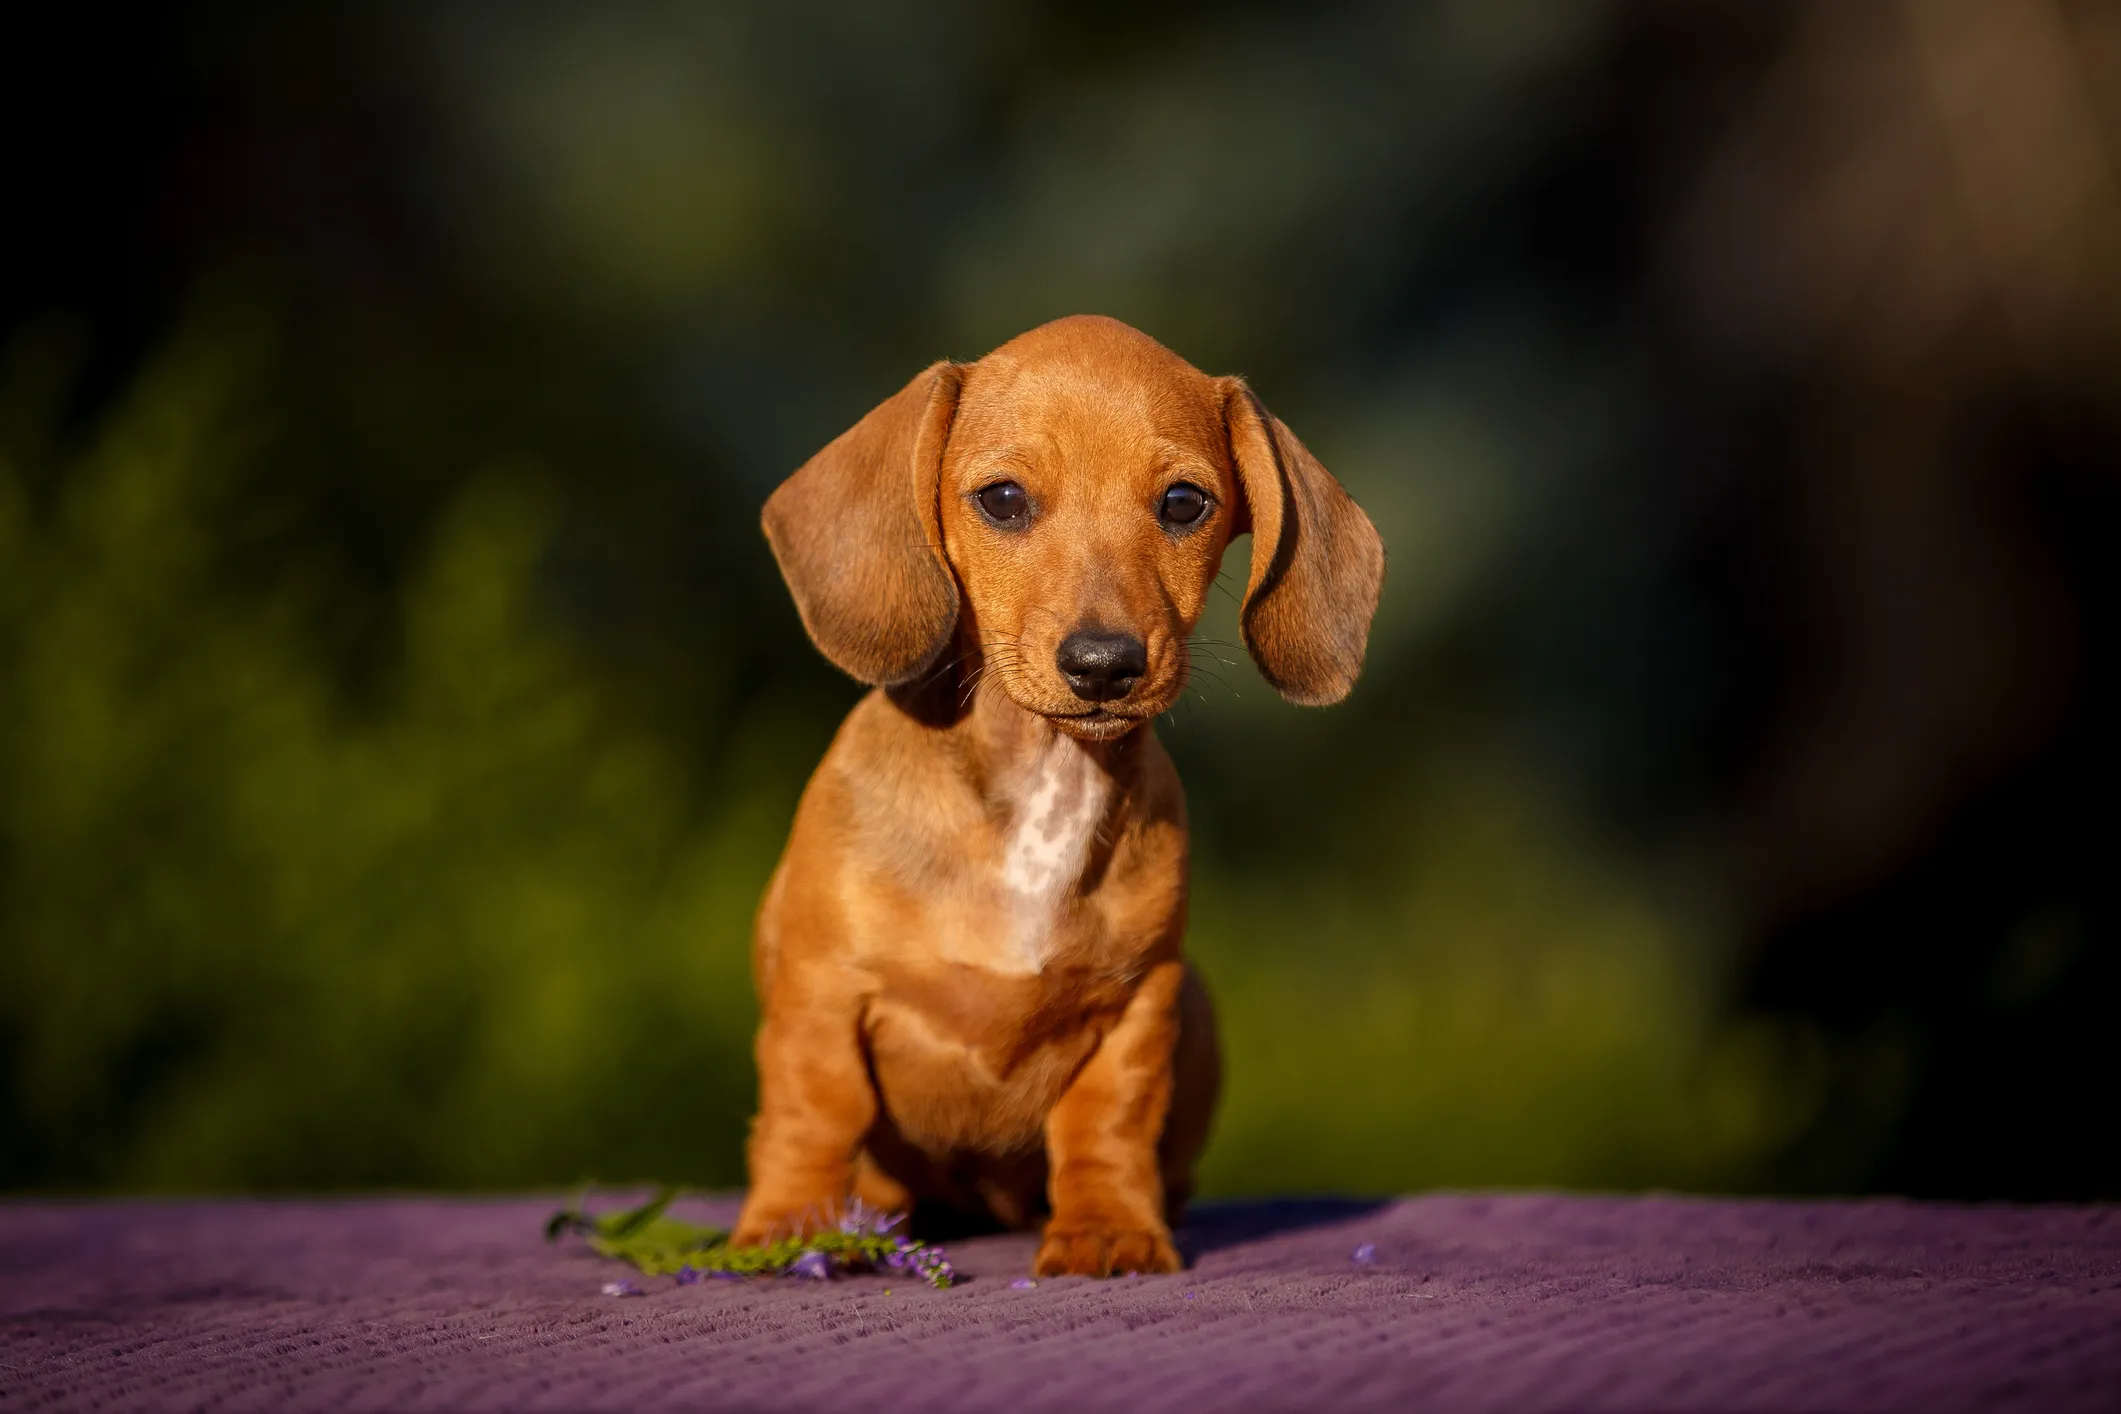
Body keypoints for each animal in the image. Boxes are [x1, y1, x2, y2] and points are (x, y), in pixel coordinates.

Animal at [738, 315, 1382, 1280]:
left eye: (1184, 504)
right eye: (1002, 499)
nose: (1103, 665)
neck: (1044, 781)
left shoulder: (1139, 1006)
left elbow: (1106, 1123)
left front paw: (1107, 1227)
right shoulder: (822, 990)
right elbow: (817, 1108)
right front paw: (793, 1229)